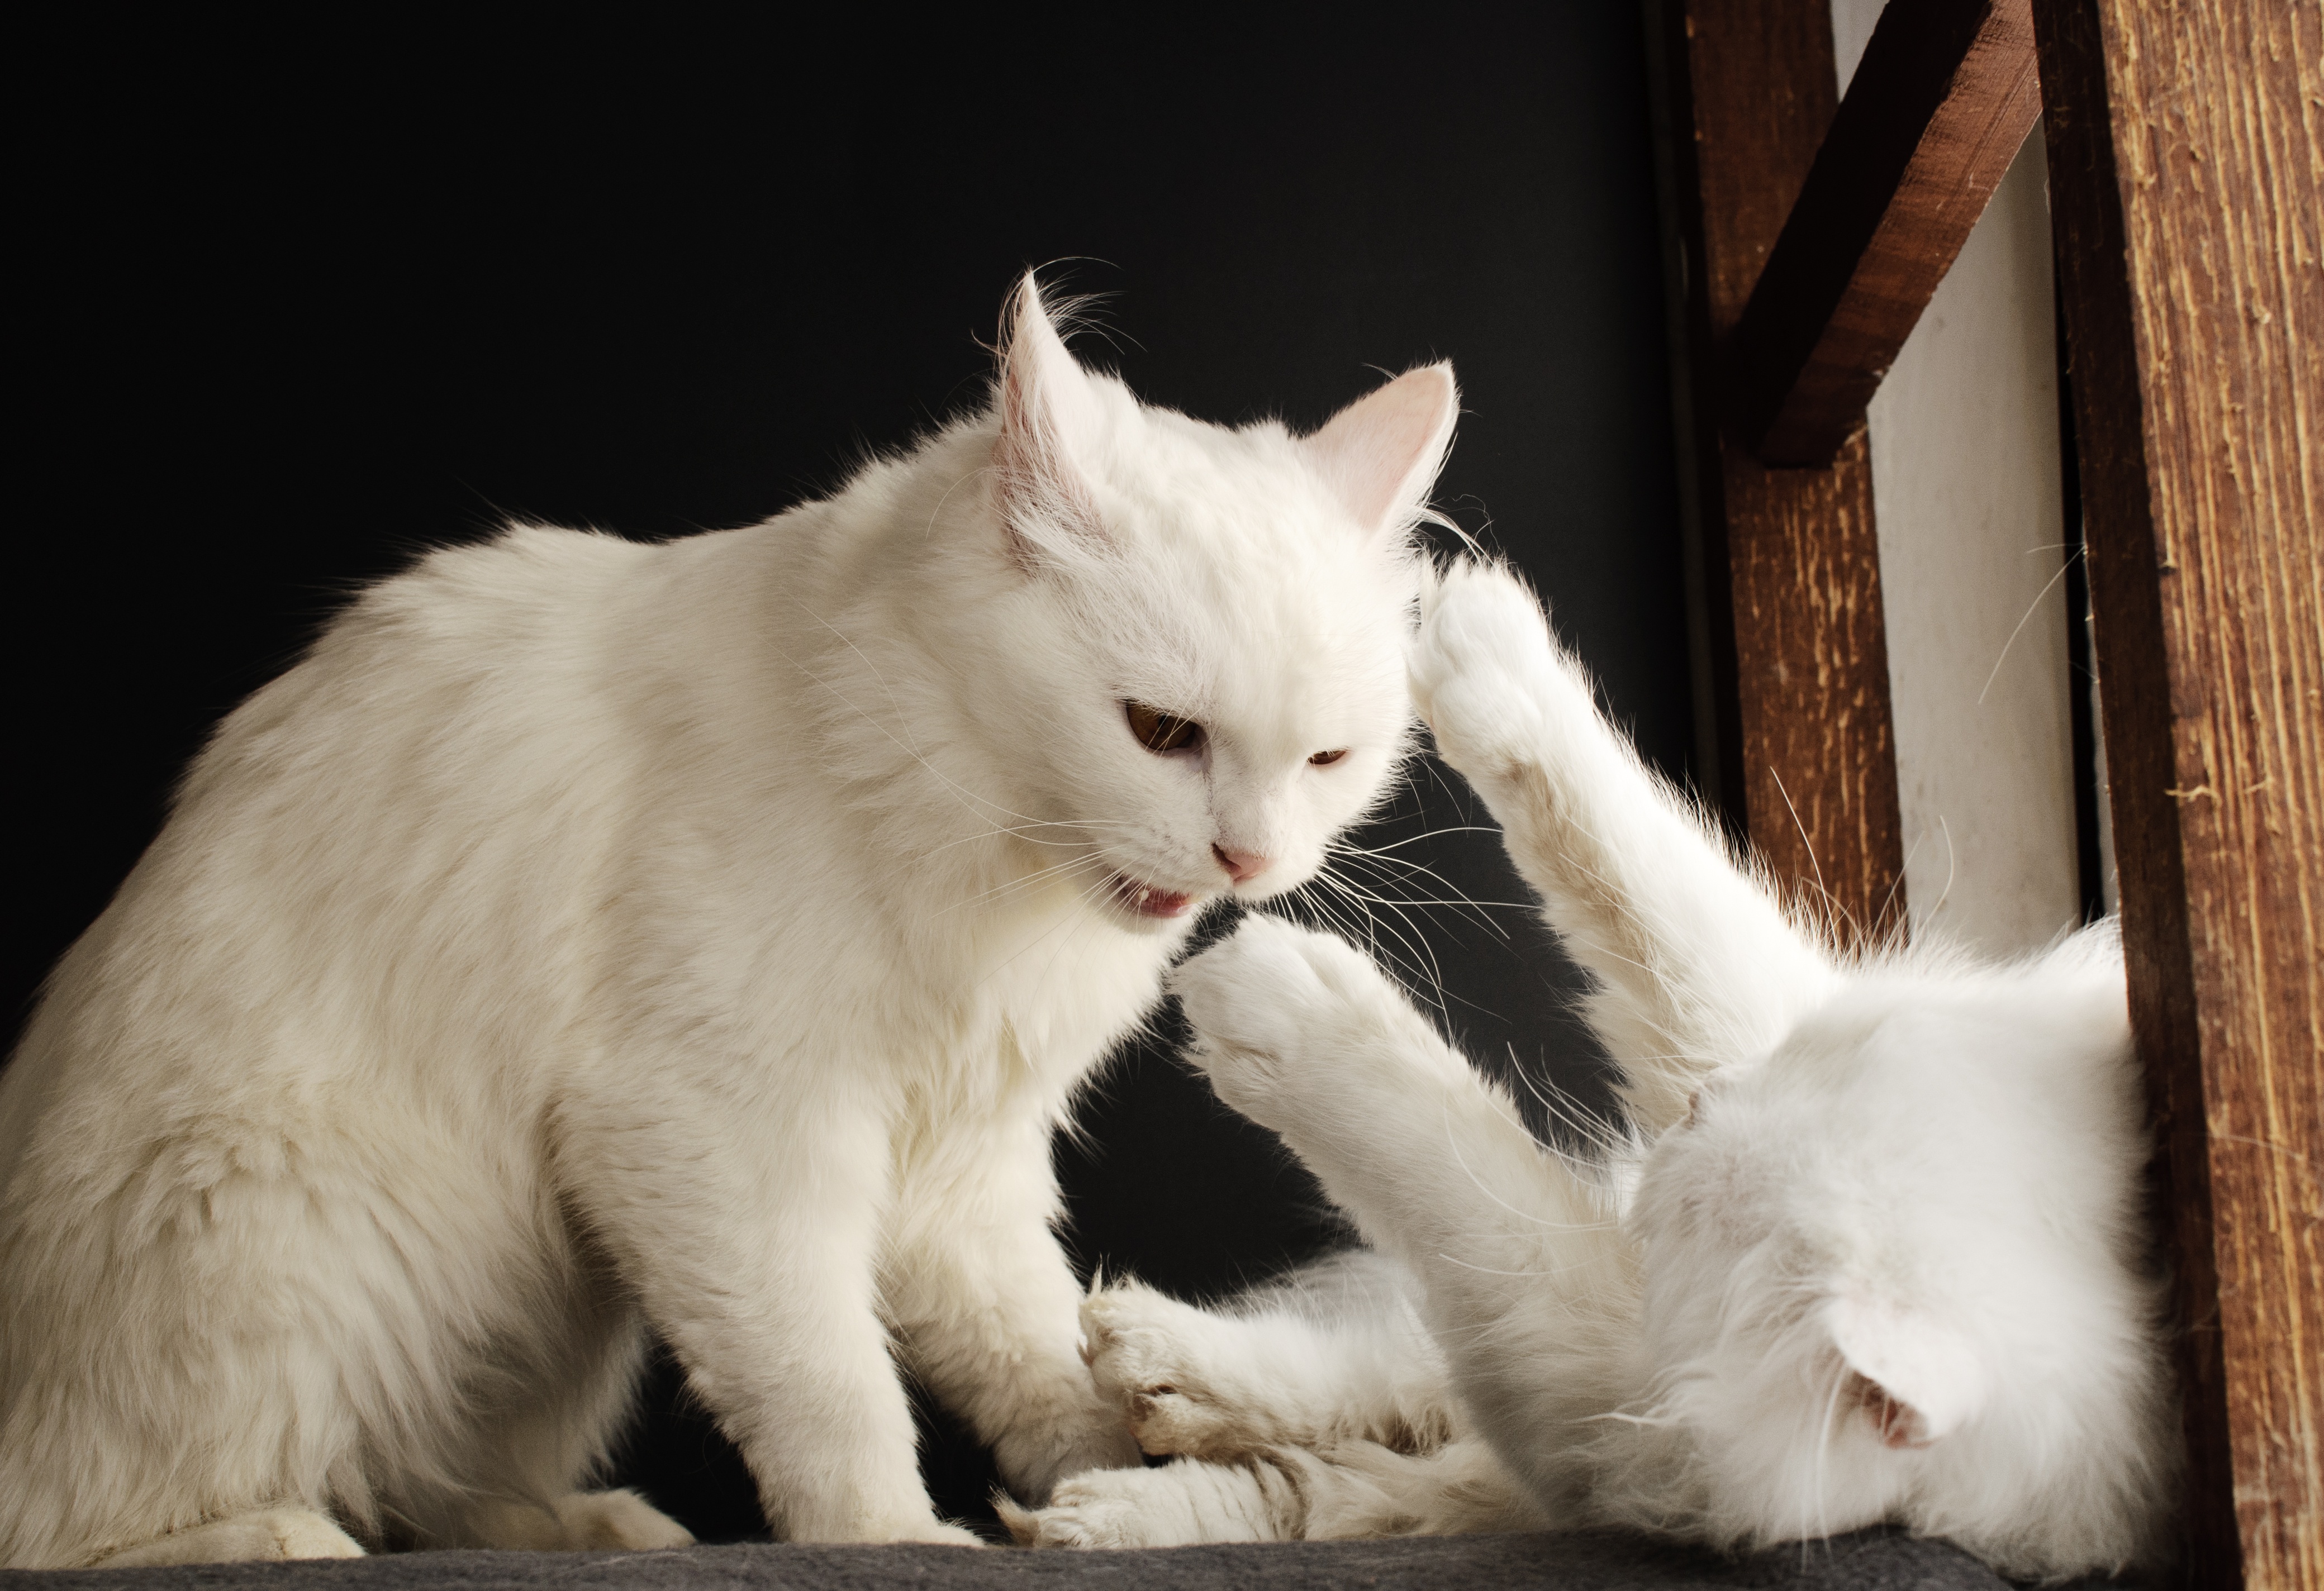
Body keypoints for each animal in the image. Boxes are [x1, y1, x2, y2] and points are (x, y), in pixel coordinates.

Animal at [0, 276, 1450, 1560]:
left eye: (1325, 758)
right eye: (1159, 731)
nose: (1246, 856)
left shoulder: (957, 1169)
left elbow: (1039, 1361)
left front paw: (1130, 1476)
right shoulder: (722, 1132)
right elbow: (830, 1384)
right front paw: (894, 1534)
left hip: (540, 1304)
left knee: (434, 1489)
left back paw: (589, 1525)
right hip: (302, 1239)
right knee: (80, 1524)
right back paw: (287, 1533)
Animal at [1009, 557, 2166, 1579]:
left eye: (1704, 1208)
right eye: (1801, 1055)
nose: (1691, 1113)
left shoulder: (1602, 1395)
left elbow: (1470, 1185)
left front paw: (1285, 999)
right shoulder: (1756, 1003)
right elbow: (1647, 887)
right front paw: (1480, 642)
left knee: (1336, 1469)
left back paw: (1106, 1481)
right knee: (1356, 1387)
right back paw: (1147, 1374)